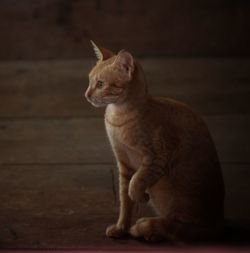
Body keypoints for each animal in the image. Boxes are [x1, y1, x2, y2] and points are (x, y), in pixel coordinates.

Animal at [84, 41, 225, 243]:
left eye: (100, 83)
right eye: (89, 81)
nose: (86, 95)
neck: (118, 117)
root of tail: (220, 222)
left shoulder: (155, 158)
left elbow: (137, 181)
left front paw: (139, 196)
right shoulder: (124, 164)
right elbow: (125, 201)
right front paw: (121, 228)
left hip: (167, 188)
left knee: (185, 229)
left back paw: (151, 230)